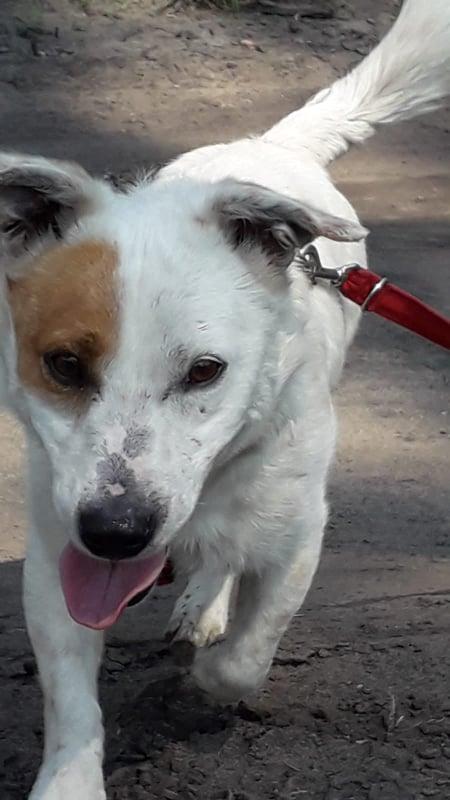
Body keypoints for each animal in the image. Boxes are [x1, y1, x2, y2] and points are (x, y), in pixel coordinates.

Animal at [0, 1, 449, 797]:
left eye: (206, 371)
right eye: (63, 363)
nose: (116, 531)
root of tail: (270, 147)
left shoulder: (297, 535)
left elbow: (241, 660)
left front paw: (207, 667)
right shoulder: (59, 549)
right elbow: (70, 697)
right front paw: (70, 780)